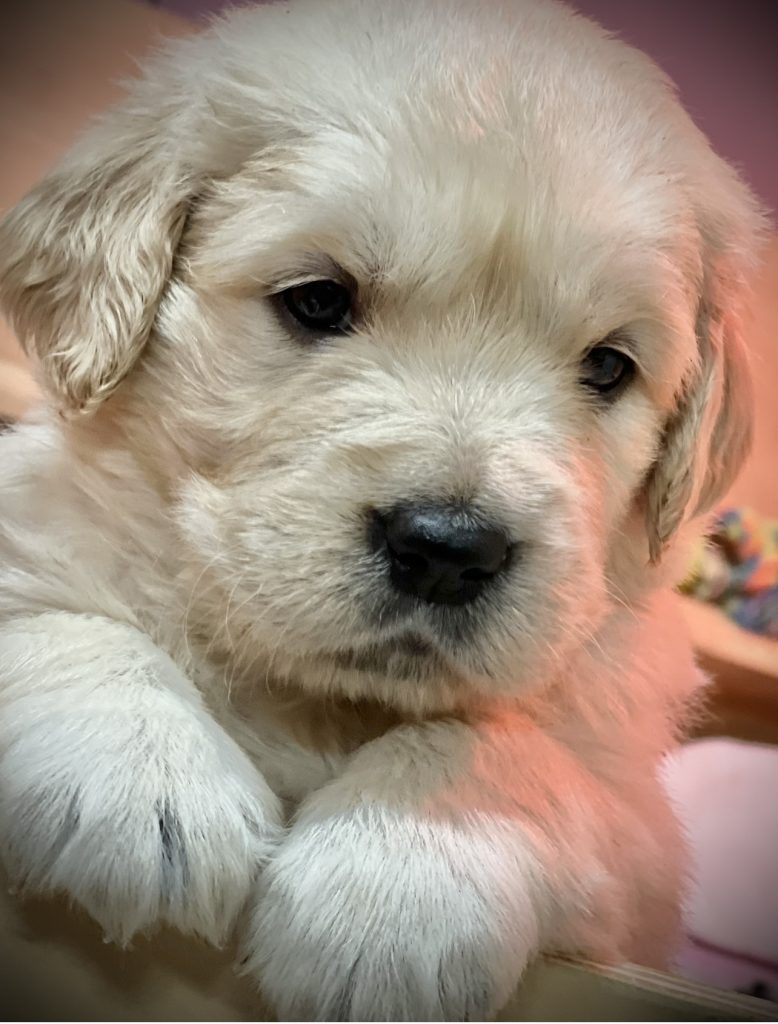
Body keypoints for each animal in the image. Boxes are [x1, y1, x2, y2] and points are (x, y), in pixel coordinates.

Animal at [0, 0, 761, 1019]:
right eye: (318, 301)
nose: (449, 550)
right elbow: (60, 620)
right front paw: (141, 780)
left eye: (608, 365)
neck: (317, 703)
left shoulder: (637, 834)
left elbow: (504, 748)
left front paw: (392, 889)